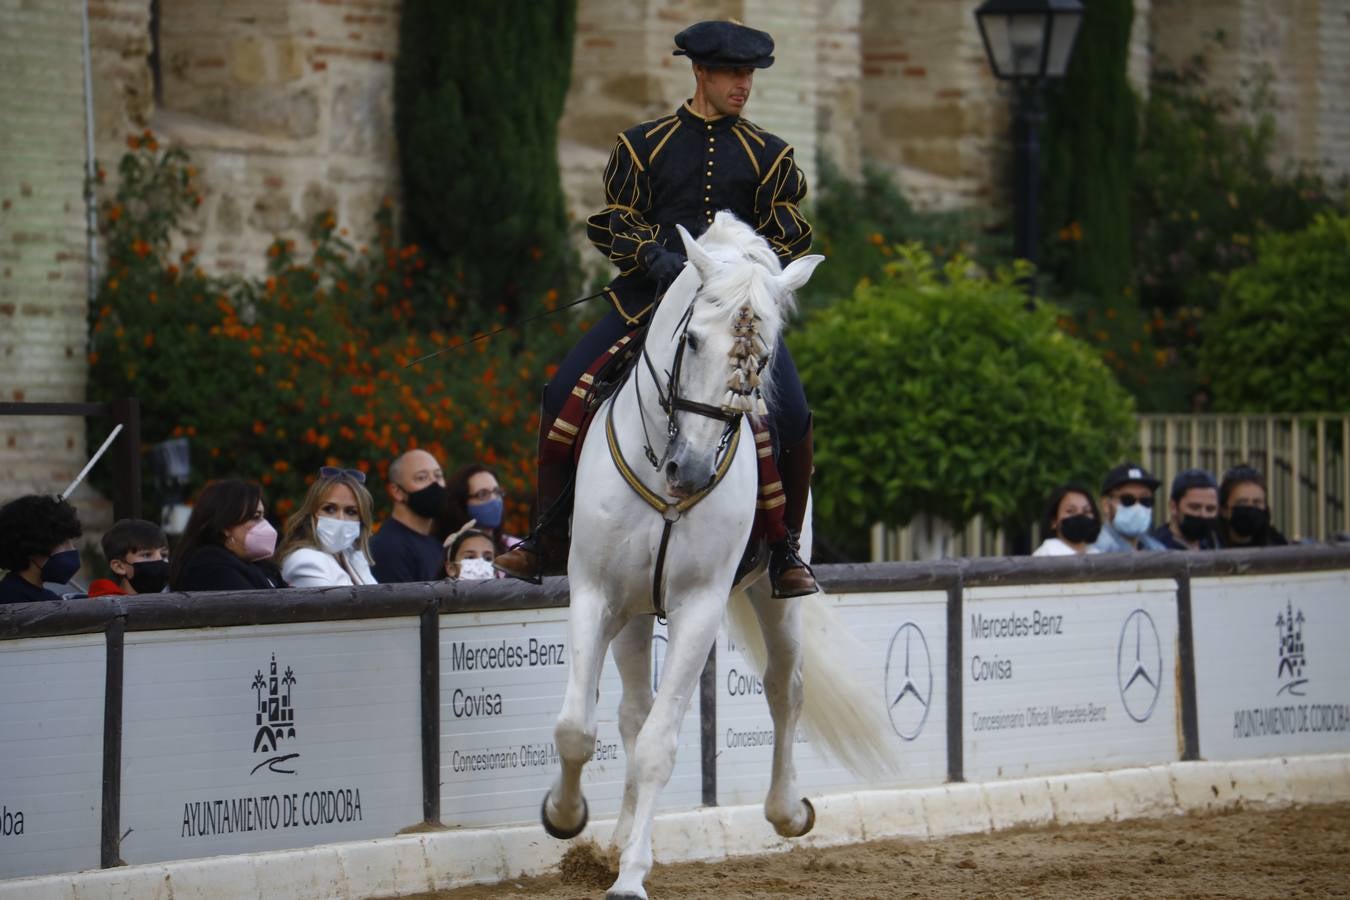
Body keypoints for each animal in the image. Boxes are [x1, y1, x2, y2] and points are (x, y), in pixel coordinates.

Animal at [537, 213, 896, 900]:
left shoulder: (698, 606)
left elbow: (660, 745)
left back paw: (785, 811)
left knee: (785, 687)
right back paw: (616, 837)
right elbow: (575, 727)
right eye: (694, 340)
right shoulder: (593, 589)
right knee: (631, 711)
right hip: (632, 610)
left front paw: (631, 878)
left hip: (773, 595)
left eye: (763, 357)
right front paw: (566, 818)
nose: (694, 471)